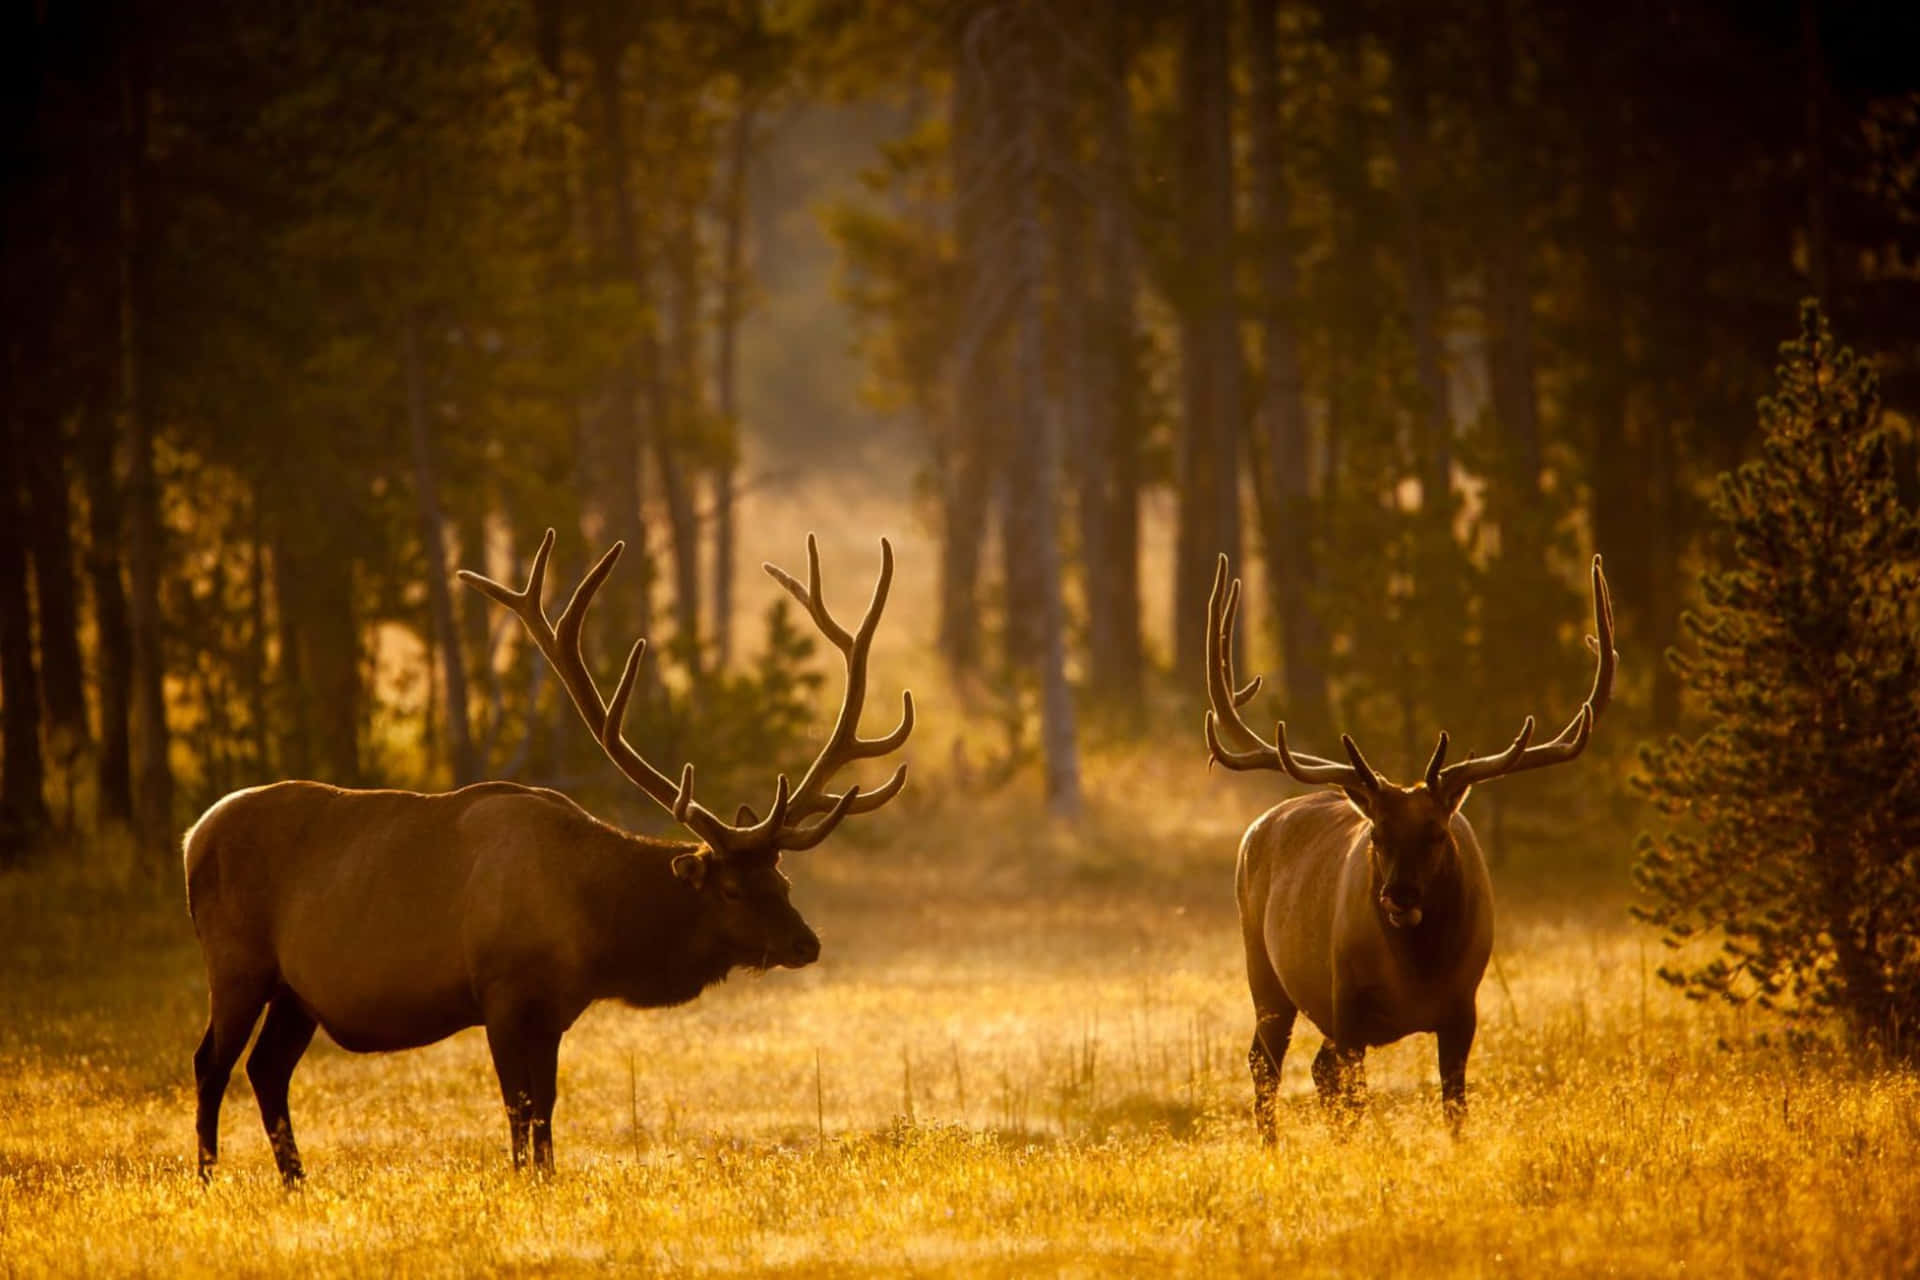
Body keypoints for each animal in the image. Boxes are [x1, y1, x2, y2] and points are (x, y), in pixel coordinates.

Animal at [184, 529, 913, 1183]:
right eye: (733, 887)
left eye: (783, 878)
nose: (807, 942)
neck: (595, 928)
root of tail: (193, 835)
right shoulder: (503, 992)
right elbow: (520, 1107)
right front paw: (524, 1182)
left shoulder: (556, 1009)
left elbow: (547, 1109)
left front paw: (547, 1178)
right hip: (237, 960)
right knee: (212, 1061)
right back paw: (209, 1176)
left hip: (296, 990)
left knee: (267, 1068)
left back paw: (295, 1180)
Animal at [1203, 553, 1614, 1139]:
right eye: (1376, 834)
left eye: (1438, 833)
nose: (1398, 896)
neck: (1416, 973)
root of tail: (1256, 827)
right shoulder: (1348, 1008)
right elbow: (1355, 1100)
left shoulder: (1463, 1009)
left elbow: (1455, 1110)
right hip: (1264, 968)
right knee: (1266, 1061)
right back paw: (1273, 1147)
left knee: (1315, 1069)